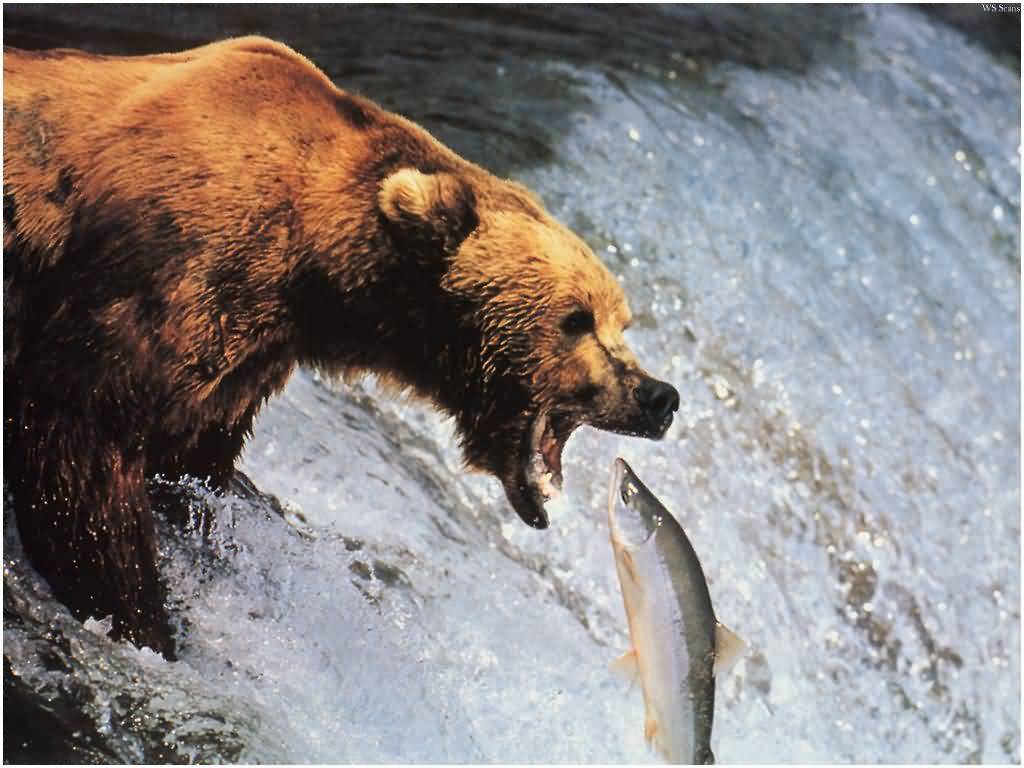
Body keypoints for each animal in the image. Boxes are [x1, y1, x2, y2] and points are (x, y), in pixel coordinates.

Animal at [3, 37, 680, 659]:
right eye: (576, 318)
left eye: (619, 322)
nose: (659, 396)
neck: (318, 268)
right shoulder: (160, 280)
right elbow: (79, 450)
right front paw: (143, 623)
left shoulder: (242, 361)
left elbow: (190, 462)